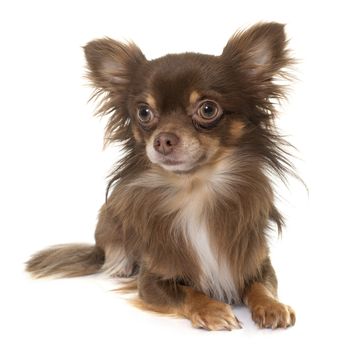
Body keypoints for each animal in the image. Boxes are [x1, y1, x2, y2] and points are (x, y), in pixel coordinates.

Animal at [26, 22, 296, 330]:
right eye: (144, 112)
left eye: (208, 109)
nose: (163, 140)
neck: (195, 189)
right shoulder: (152, 280)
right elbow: (187, 292)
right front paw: (213, 310)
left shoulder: (256, 262)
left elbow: (261, 286)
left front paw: (272, 306)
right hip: (109, 218)